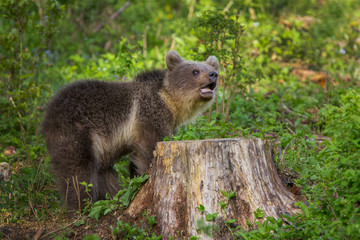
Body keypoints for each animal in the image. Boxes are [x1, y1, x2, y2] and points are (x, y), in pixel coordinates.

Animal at [40, 50, 218, 208]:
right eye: (195, 71)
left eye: (210, 68)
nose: (213, 74)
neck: (169, 102)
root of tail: (48, 110)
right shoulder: (149, 114)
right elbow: (150, 148)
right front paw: (145, 176)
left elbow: (136, 157)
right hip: (76, 130)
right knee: (78, 171)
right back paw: (81, 204)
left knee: (103, 175)